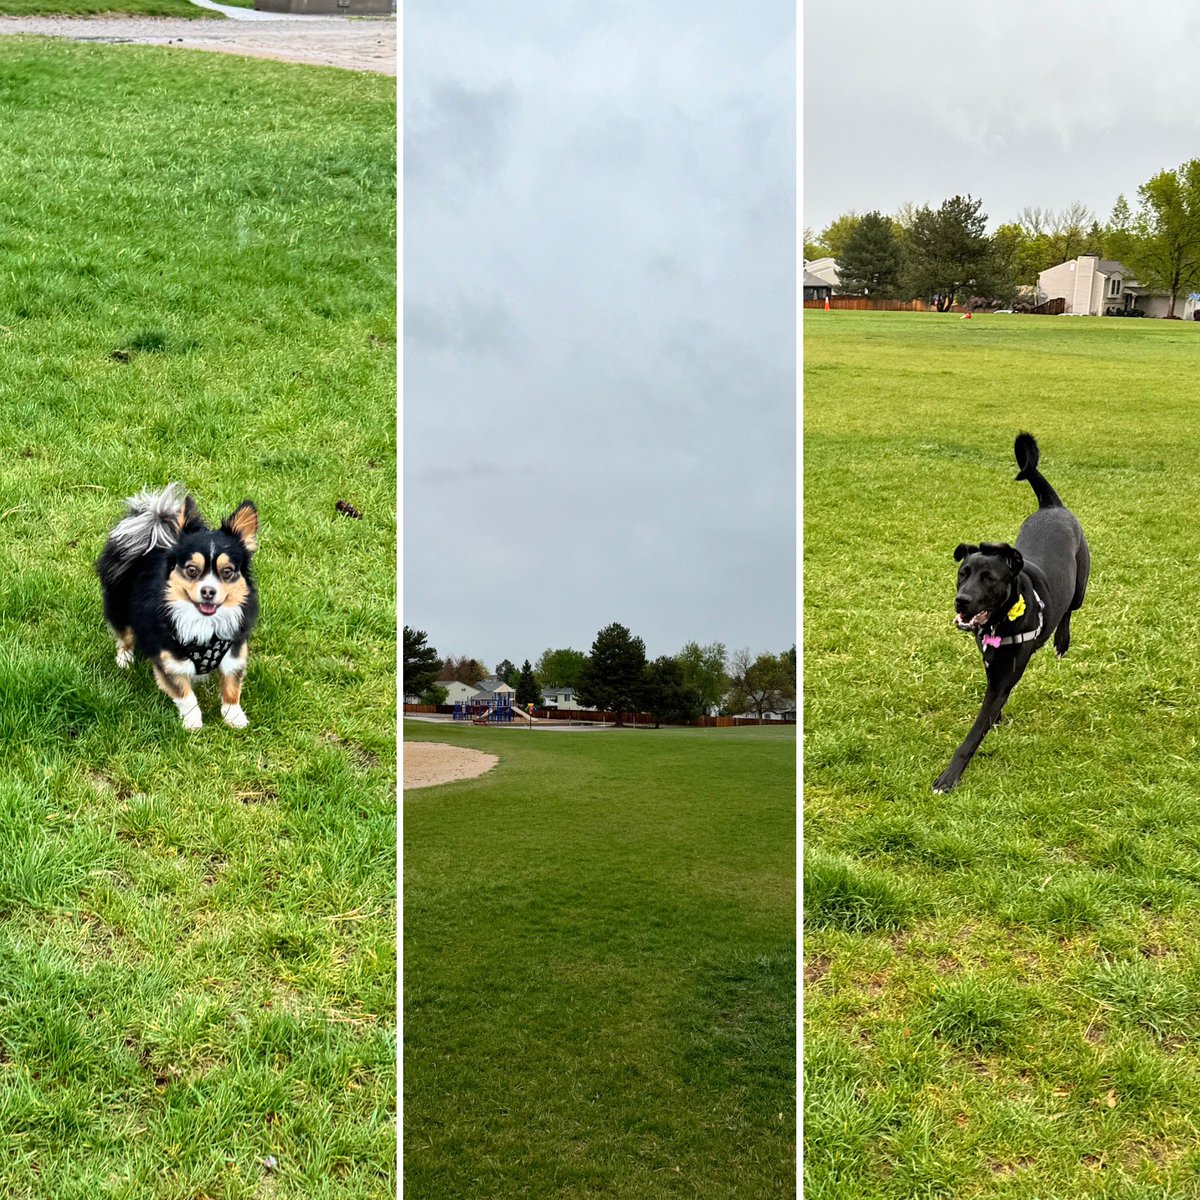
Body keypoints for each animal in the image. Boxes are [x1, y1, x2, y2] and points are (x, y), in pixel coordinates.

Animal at [96, 484, 260, 729]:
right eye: (192, 570)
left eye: (227, 572)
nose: (208, 591)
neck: (204, 623)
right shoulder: (170, 661)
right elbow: (185, 694)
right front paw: (193, 722)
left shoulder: (234, 653)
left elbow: (232, 685)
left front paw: (234, 716)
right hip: (120, 608)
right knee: (124, 635)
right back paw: (124, 659)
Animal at [931, 436, 1094, 792]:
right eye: (963, 573)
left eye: (989, 578)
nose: (961, 600)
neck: (1001, 620)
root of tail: (1052, 507)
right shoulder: (991, 663)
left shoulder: (1005, 676)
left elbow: (973, 733)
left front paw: (947, 778)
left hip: (1079, 587)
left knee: (1069, 611)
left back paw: (1062, 641)